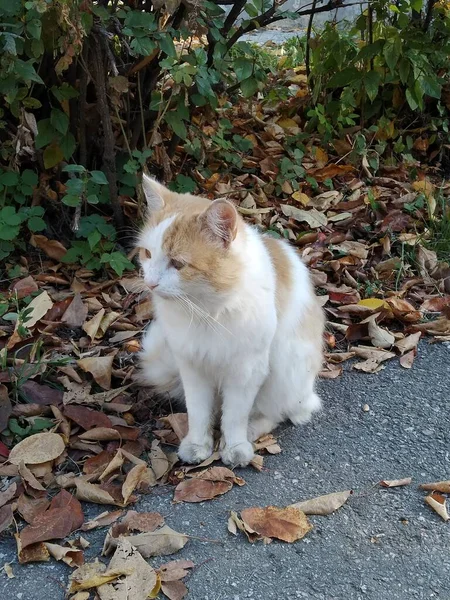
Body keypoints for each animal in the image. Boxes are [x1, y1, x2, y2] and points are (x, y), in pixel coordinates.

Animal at [137, 175, 324, 468]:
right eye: (147, 254)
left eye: (177, 264)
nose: (150, 283)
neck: (204, 311)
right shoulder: (192, 367)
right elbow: (199, 413)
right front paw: (197, 445)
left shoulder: (246, 371)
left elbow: (235, 416)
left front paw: (235, 446)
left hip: (286, 372)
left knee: (277, 413)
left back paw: (250, 431)